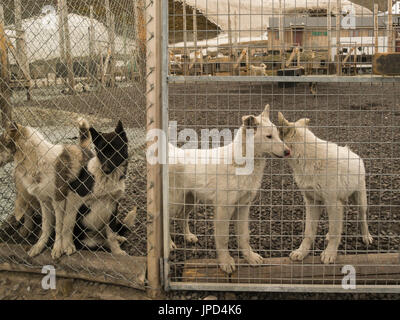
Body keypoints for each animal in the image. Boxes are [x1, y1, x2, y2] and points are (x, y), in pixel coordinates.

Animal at [169, 104, 290, 272]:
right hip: (175, 202)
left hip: (190, 201)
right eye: (269, 136)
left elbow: (244, 236)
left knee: (182, 217)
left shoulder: (243, 207)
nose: (288, 152)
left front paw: (250, 257)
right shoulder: (223, 210)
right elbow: (223, 239)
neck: (241, 163)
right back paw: (168, 244)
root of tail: (172, 151)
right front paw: (225, 262)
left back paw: (188, 237)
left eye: (278, 135)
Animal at [276, 114, 374, 264]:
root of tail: (351, 151)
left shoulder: (333, 203)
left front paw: (329, 254)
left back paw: (366, 236)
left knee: (362, 219)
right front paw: (302, 252)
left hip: (360, 202)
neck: (307, 157)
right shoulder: (312, 203)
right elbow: (309, 232)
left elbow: (335, 233)